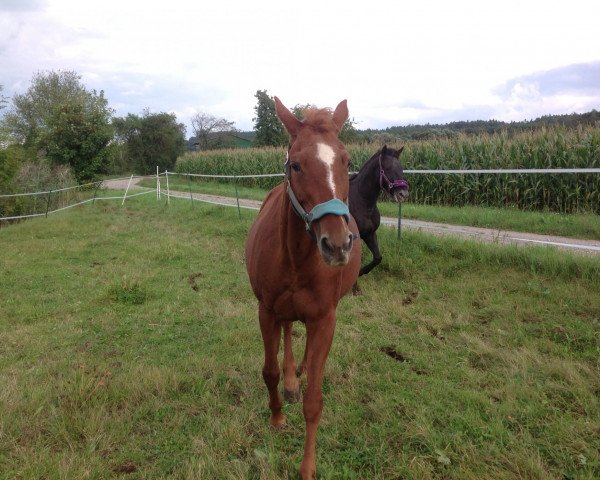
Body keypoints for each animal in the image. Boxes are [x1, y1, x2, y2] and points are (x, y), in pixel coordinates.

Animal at [245, 97, 360, 480]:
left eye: (346, 161)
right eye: (295, 165)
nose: (337, 245)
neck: (296, 257)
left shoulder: (324, 319)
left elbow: (314, 401)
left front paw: (308, 467)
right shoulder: (266, 311)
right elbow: (270, 371)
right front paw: (277, 417)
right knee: (289, 334)